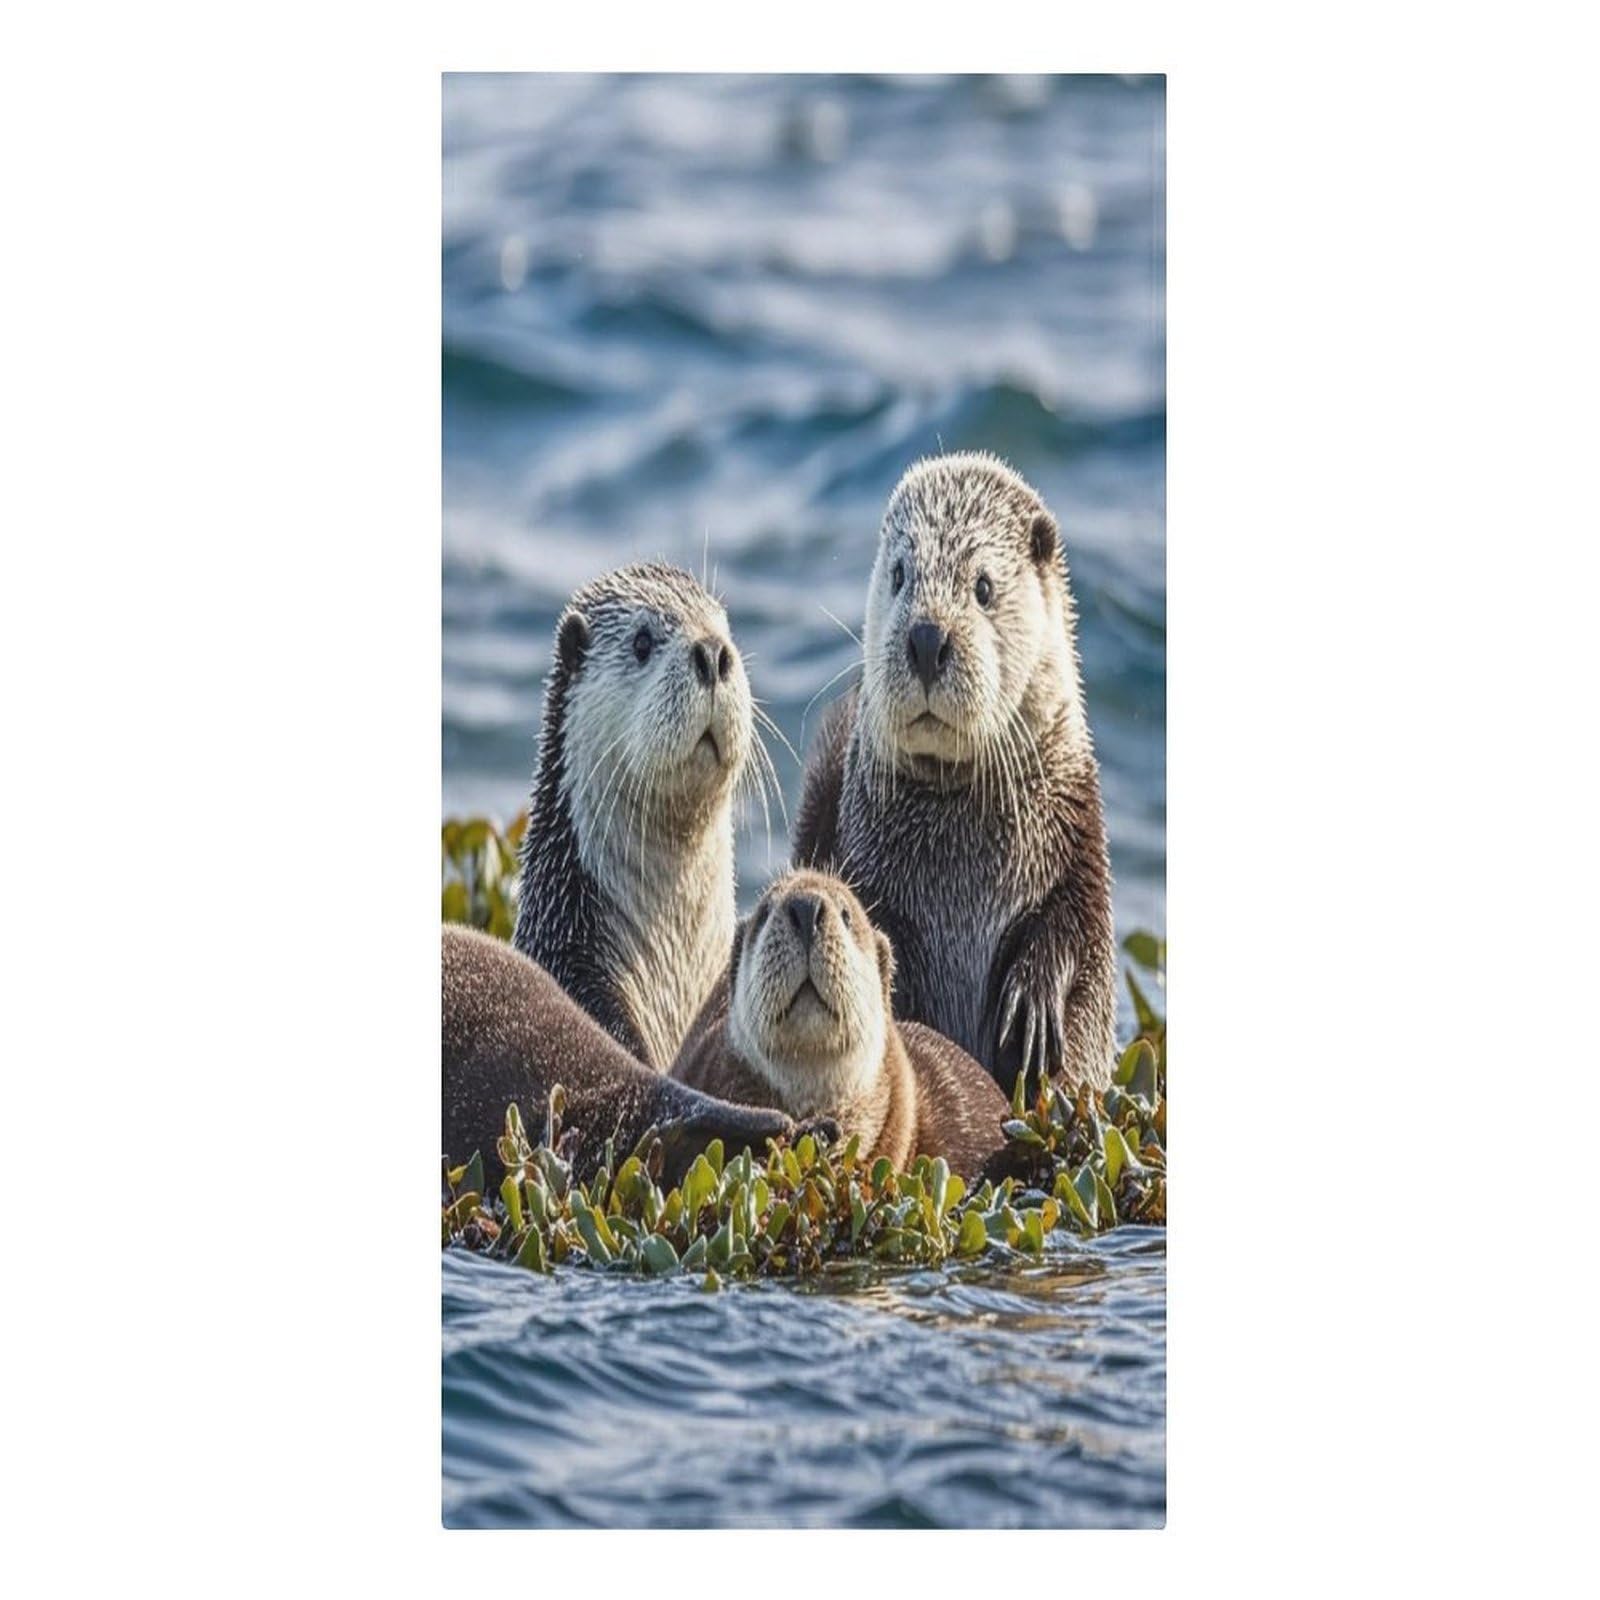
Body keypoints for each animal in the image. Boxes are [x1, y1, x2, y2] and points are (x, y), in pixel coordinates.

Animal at [792, 453, 1117, 1094]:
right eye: (899, 575)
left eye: (983, 587)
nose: (926, 636)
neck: (961, 875)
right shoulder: (867, 865)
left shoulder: (1079, 844)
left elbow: (1074, 928)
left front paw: (1033, 1004)